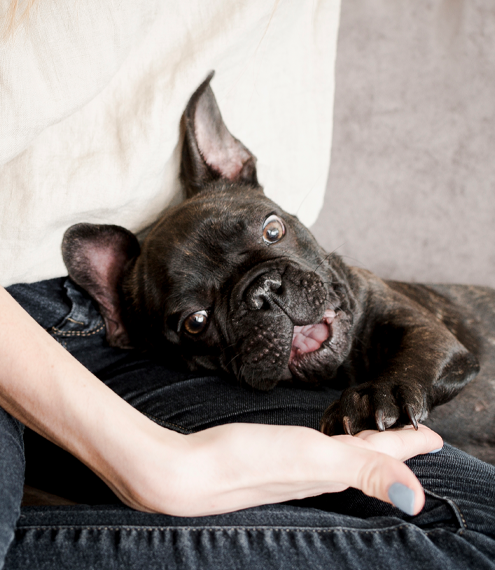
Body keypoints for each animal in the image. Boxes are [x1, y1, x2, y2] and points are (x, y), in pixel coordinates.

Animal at [62, 72, 495, 462]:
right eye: (195, 322)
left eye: (273, 229)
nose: (262, 289)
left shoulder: (429, 332)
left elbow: (417, 351)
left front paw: (377, 394)